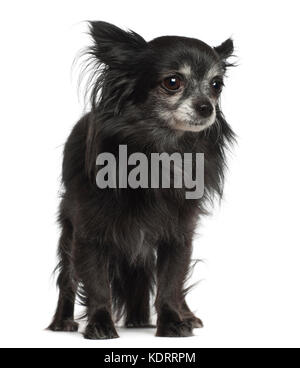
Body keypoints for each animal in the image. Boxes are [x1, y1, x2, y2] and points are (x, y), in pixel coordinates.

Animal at [48, 21, 236, 340]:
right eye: (172, 82)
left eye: (216, 85)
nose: (206, 107)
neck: (157, 153)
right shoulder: (89, 234)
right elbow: (97, 285)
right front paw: (100, 323)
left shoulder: (178, 234)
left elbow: (171, 283)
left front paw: (172, 321)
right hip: (68, 233)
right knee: (68, 279)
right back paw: (63, 321)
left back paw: (171, 317)